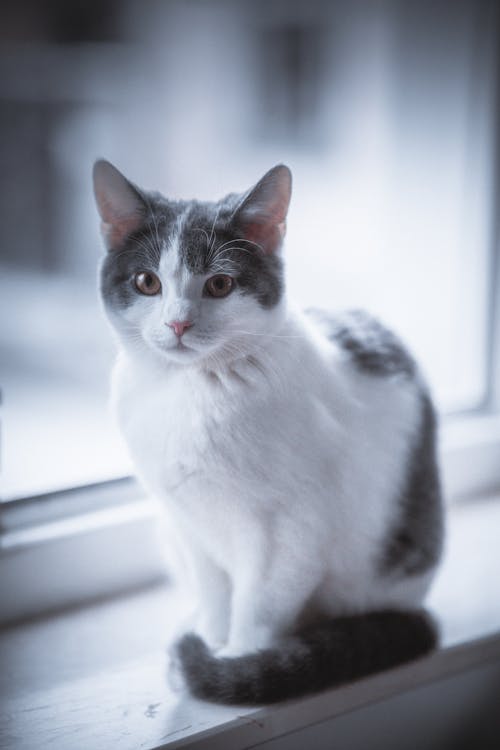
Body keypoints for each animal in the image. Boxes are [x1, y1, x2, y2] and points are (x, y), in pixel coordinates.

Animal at [93, 159, 442, 704]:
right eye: (147, 281)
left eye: (220, 285)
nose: (177, 325)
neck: (191, 390)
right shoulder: (186, 520)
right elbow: (216, 589)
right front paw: (211, 637)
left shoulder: (293, 529)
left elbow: (259, 604)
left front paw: (237, 661)